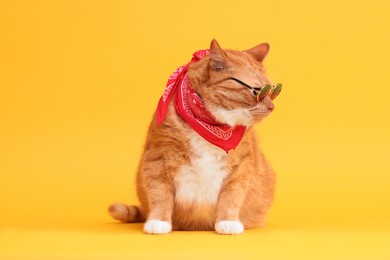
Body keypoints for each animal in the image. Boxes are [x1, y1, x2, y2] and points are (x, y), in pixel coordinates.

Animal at [109, 39, 278, 236]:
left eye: (273, 92)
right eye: (258, 91)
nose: (272, 107)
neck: (211, 123)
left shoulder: (242, 166)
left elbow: (232, 195)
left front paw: (228, 221)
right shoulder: (157, 159)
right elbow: (160, 194)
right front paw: (158, 221)